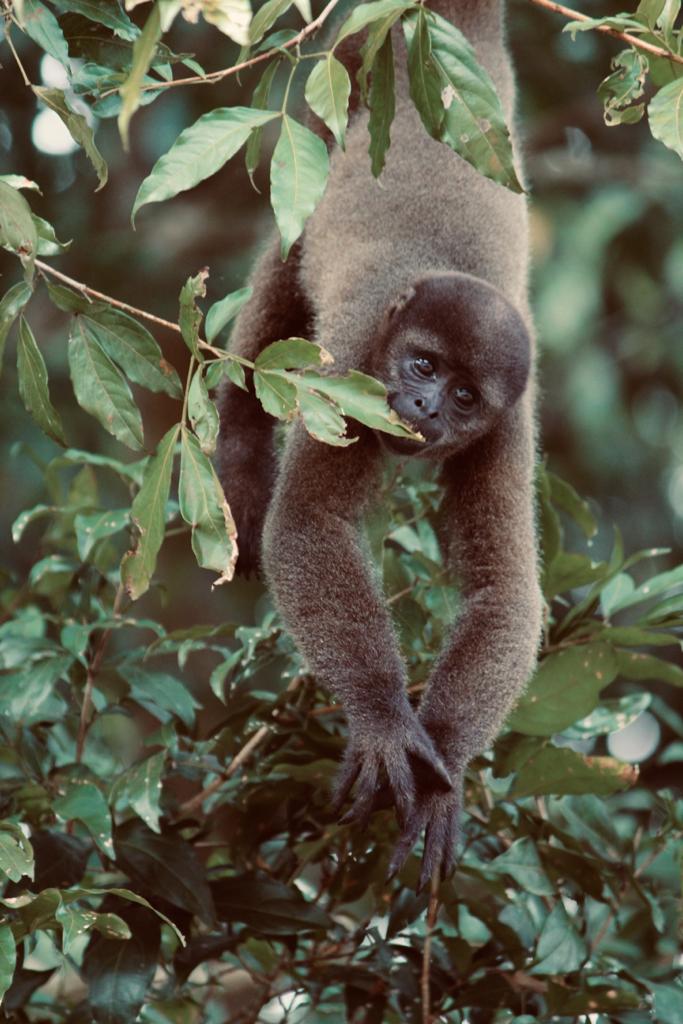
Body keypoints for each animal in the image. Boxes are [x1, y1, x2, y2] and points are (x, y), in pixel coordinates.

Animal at [217, 0, 543, 887]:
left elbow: (504, 591)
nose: (424, 404)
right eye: (421, 365)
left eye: (463, 396)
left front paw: (443, 773)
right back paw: (236, 452)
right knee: (282, 275)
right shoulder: (354, 371)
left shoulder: (507, 429)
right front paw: (386, 722)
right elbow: (307, 526)